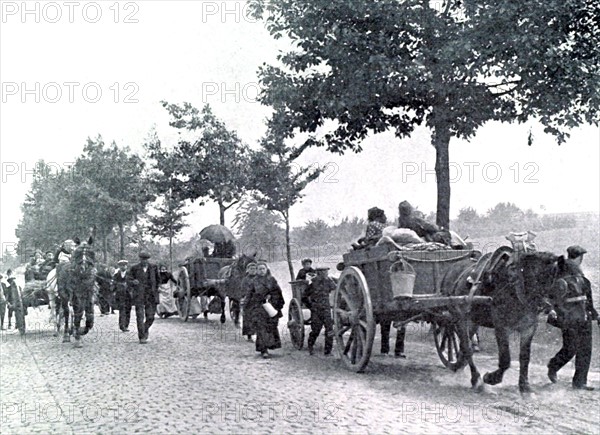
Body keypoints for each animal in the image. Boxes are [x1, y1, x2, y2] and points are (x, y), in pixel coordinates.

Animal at [440, 249, 584, 396]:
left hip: (473, 320)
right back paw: (476, 380)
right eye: (568, 288)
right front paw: (491, 378)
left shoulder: (529, 327)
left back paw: (459, 366)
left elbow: (525, 357)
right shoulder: (501, 327)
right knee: (466, 347)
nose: (581, 318)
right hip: (460, 318)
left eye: (583, 285)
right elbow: (505, 359)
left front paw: (524, 386)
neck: (519, 286)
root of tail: (452, 268)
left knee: (464, 346)